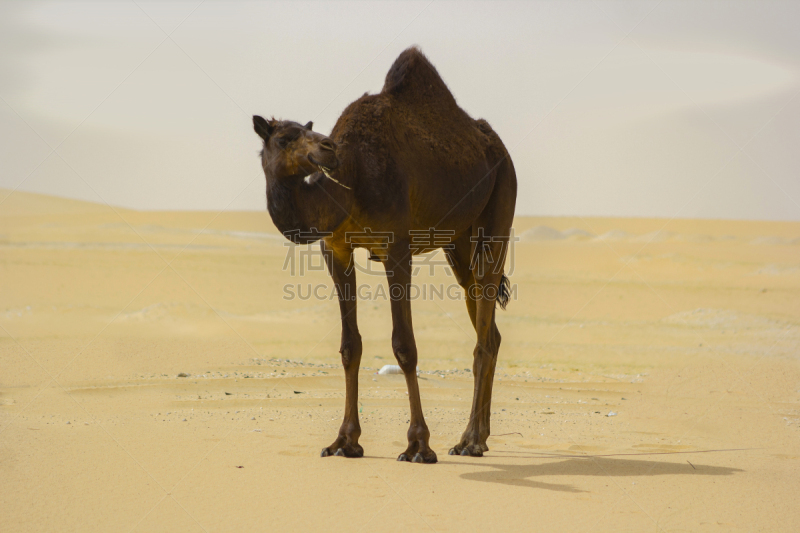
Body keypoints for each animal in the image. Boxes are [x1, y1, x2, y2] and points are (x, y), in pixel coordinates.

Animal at [253, 46, 520, 462]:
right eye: (284, 138)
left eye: (308, 131)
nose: (327, 148)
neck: (353, 179)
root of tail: (500, 150)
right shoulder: (336, 250)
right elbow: (350, 346)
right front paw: (345, 442)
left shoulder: (396, 247)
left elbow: (404, 345)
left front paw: (418, 445)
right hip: (458, 242)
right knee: (487, 326)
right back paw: (479, 437)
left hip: (500, 202)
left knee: (484, 323)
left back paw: (470, 440)